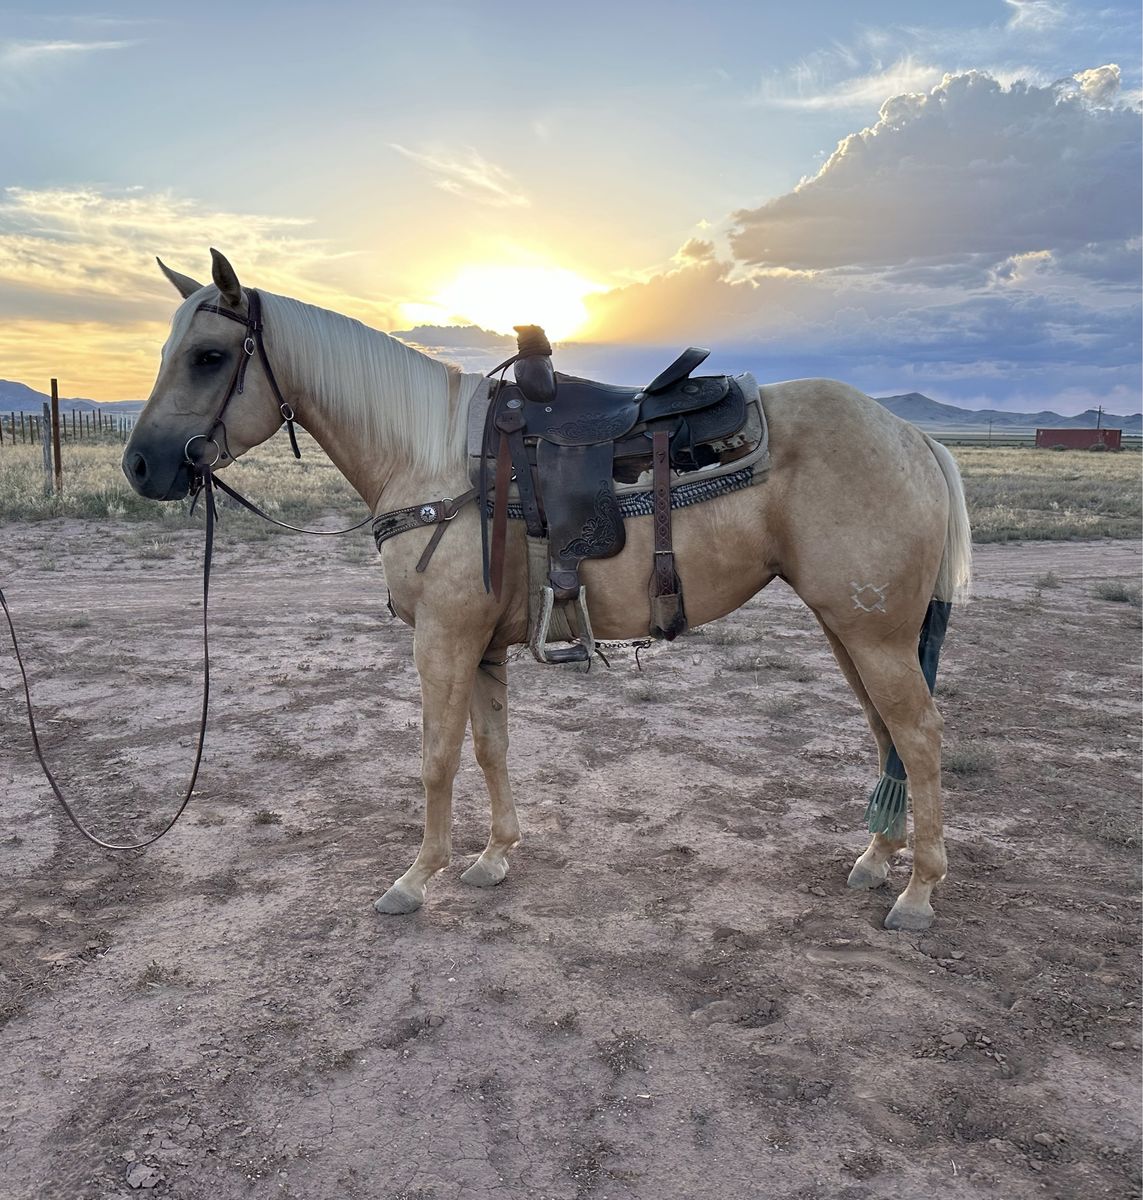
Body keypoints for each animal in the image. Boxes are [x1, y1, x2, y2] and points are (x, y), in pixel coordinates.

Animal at [123, 249, 971, 932]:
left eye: (208, 356)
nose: (141, 466)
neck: (430, 457)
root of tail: (912, 437)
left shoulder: (442, 639)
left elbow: (436, 758)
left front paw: (414, 880)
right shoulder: (482, 645)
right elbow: (490, 748)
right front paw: (495, 857)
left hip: (873, 634)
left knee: (920, 737)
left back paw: (918, 893)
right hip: (848, 629)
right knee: (886, 734)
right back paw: (876, 859)